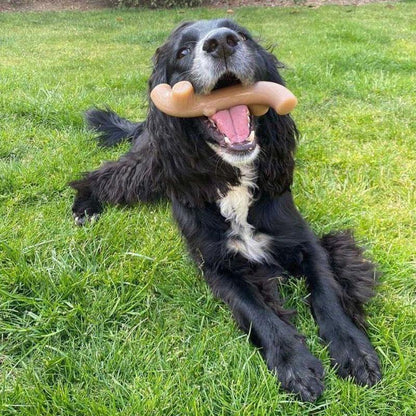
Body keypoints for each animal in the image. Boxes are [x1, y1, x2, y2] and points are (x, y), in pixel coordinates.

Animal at [70, 19, 381, 402]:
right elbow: (257, 309)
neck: (233, 176)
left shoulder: (305, 242)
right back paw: (84, 205)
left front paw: (353, 350)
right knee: (105, 175)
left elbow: (327, 292)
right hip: (150, 166)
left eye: (241, 34)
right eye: (183, 51)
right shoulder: (216, 266)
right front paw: (294, 362)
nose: (221, 43)